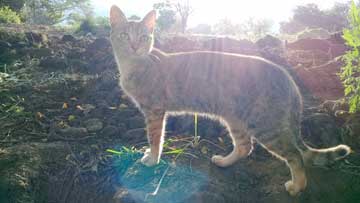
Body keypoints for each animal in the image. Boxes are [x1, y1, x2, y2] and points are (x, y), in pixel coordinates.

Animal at [109, 5, 352, 196]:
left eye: (143, 36)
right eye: (124, 35)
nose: (134, 46)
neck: (134, 65)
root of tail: (288, 77)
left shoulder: (154, 111)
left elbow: (155, 138)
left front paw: (152, 159)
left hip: (266, 125)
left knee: (295, 155)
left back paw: (297, 187)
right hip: (236, 119)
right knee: (245, 147)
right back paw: (224, 162)